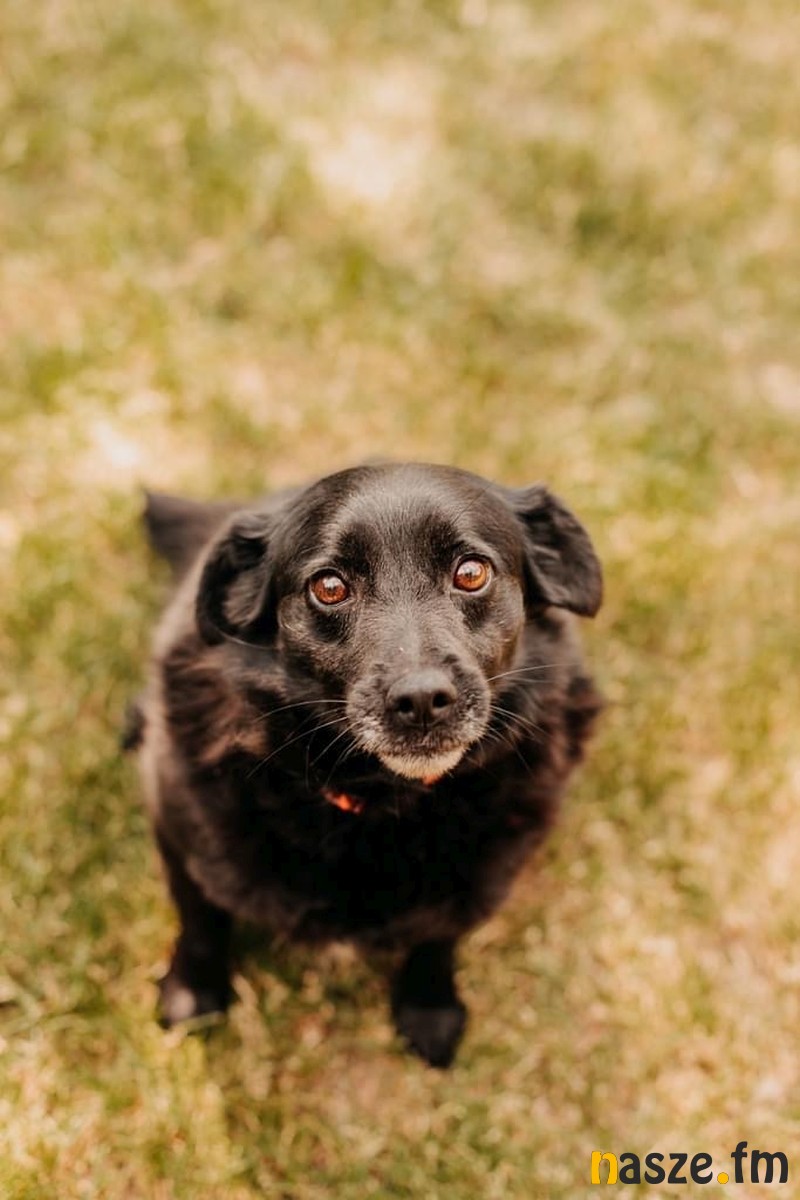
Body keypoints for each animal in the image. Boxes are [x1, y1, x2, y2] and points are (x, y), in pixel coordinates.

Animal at [133, 462, 602, 1067]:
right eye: (329, 586)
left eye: (471, 573)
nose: (422, 699)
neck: (383, 802)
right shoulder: (177, 827)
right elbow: (200, 921)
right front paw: (194, 996)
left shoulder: (481, 873)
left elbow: (439, 933)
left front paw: (429, 1007)